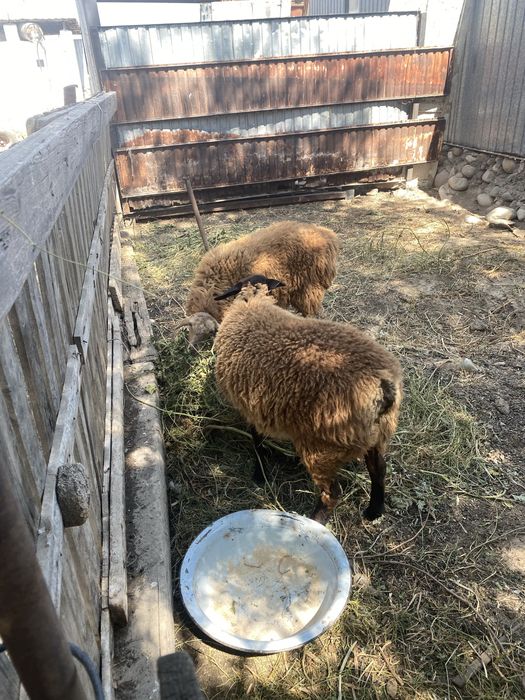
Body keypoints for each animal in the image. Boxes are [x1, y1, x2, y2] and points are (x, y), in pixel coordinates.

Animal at [173, 221, 339, 345]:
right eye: (192, 329)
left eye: (209, 332)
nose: (191, 348)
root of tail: (327, 235)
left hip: (310, 286)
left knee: (310, 310)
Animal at [213, 275, 403, 524]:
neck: (251, 302)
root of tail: (384, 387)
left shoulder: (251, 407)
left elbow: (257, 440)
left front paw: (259, 475)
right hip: (377, 435)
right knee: (379, 470)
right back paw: (373, 511)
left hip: (322, 447)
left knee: (333, 492)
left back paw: (314, 520)